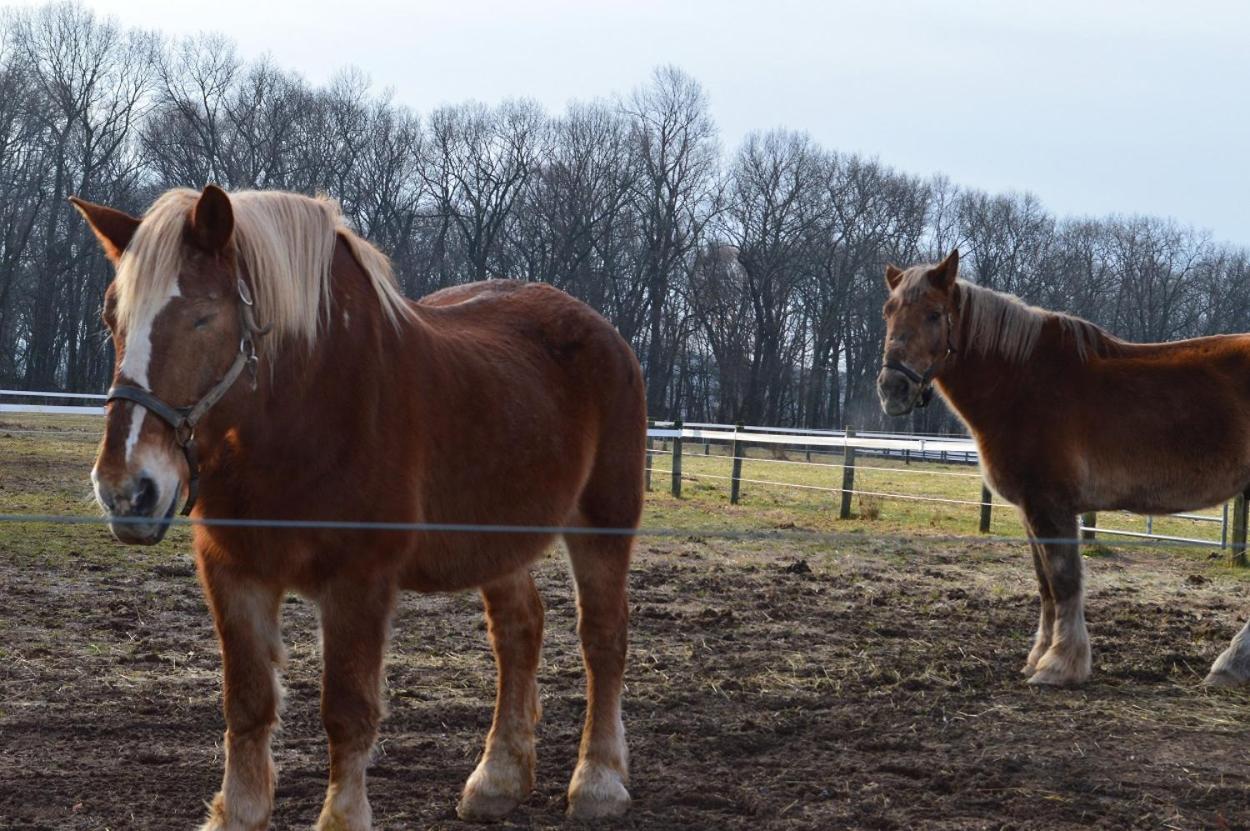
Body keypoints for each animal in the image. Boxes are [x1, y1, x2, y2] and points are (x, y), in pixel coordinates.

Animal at [70, 187, 645, 829]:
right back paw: (497, 780)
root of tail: (605, 332)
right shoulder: (233, 571)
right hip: (497, 540)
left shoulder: (358, 580)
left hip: (603, 522)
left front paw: (342, 816)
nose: (127, 490)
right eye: (110, 318)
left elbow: (346, 710)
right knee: (519, 632)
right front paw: (240, 810)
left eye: (202, 316)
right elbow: (247, 702)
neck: (307, 408)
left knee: (602, 639)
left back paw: (598, 783)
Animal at [880, 251, 1250, 684]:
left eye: (935, 314)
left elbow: (1064, 581)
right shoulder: (1031, 509)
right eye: (888, 311)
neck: (1022, 381)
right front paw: (1039, 655)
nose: (892, 389)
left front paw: (1059, 665)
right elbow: (1045, 585)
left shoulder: (1050, 504)